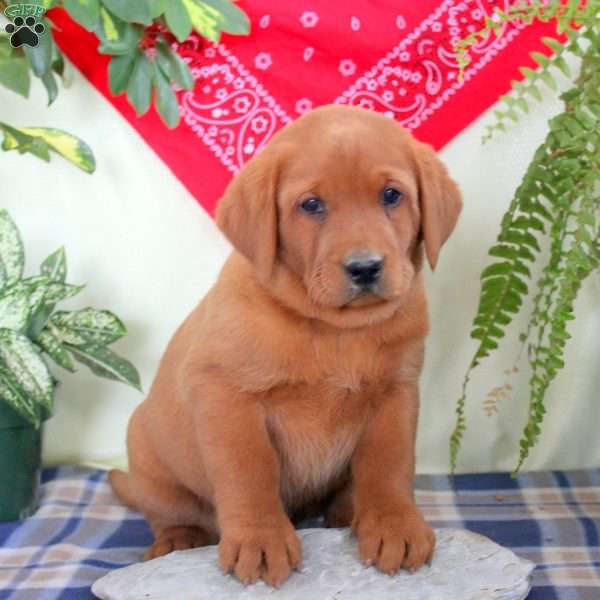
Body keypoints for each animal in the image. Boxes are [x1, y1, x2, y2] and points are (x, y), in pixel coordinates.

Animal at [110, 103, 462, 584]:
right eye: (311, 205)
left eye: (392, 196)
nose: (365, 267)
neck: (335, 330)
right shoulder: (225, 394)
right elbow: (249, 470)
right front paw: (260, 539)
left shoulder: (397, 394)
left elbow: (389, 465)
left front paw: (394, 524)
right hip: (146, 449)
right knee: (171, 511)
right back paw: (179, 538)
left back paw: (347, 514)